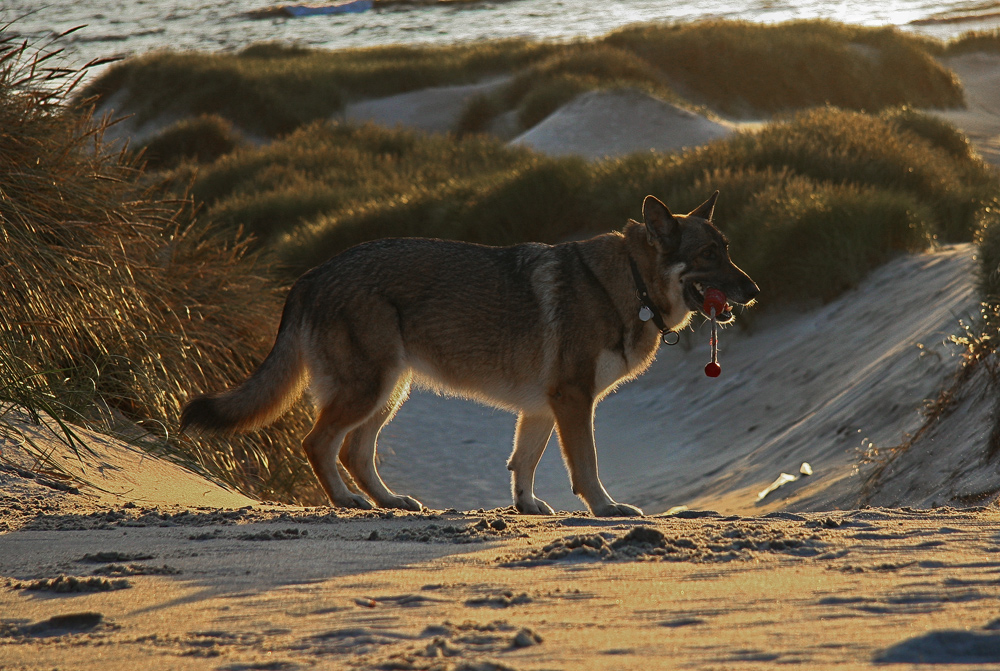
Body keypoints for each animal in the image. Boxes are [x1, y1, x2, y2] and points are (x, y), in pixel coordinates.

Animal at [182, 192, 756, 516]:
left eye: (727, 250)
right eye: (710, 254)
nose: (753, 290)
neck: (630, 285)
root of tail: (312, 274)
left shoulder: (543, 407)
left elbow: (523, 463)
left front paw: (526, 508)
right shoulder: (573, 402)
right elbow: (586, 466)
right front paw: (606, 509)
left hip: (390, 393)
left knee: (354, 452)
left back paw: (389, 503)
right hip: (371, 390)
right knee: (318, 443)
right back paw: (346, 502)